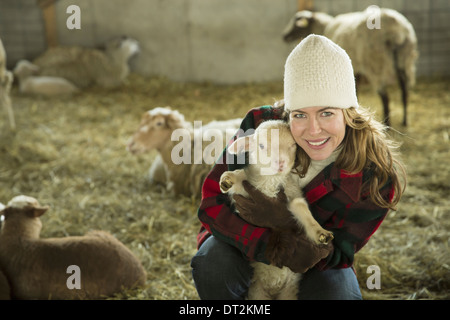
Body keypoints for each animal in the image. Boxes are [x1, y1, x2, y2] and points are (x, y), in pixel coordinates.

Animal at [218, 120, 334, 300]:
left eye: (293, 145)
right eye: (261, 145)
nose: (280, 163)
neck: (271, 181)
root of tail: (273, 288)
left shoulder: (291, 195)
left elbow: (300, 207)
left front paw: (320, 233)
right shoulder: (249, 189)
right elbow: (240, 177)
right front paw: (228, 179)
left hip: (288, 292)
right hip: (257, 292)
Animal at [284, 5, 418, 126]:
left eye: (297, 24)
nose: (284, 36)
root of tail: (396, 32)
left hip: (376, 65)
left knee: (385, 97)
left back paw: (388, 125)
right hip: (405, 62)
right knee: (404, 92)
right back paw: (405, 121)